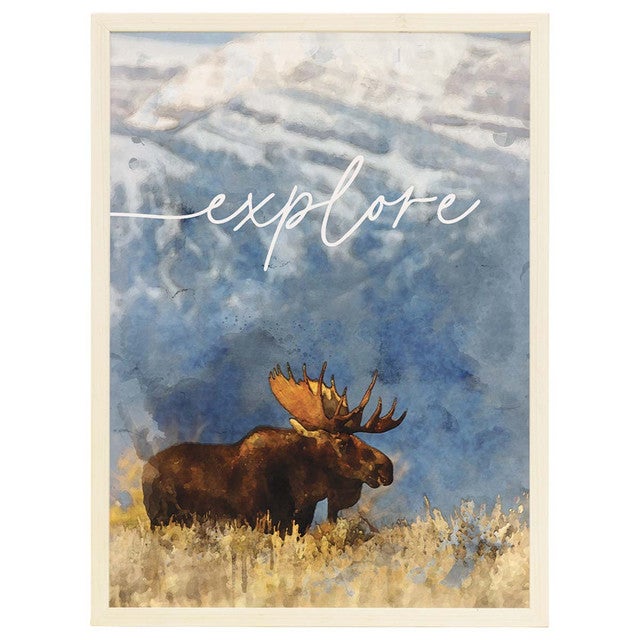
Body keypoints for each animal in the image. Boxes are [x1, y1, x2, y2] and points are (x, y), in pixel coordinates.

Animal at [142, 363, 406, 534]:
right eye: (342, 442)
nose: (387, 468)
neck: (304, 486)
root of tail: (147, 470)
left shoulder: (298, 522)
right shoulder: (259, 520)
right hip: (162, 518)